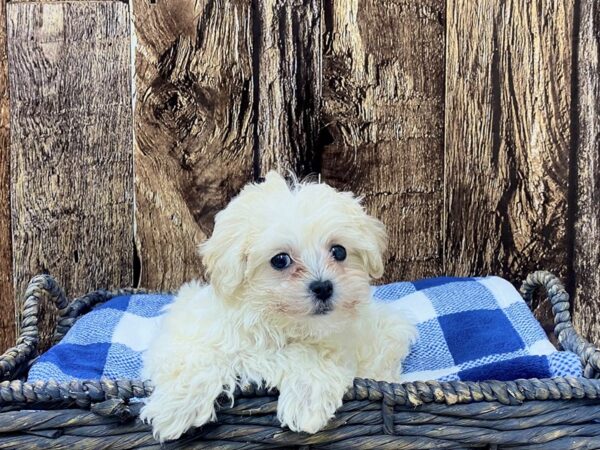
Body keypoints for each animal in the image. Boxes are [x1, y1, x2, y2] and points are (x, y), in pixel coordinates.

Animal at [139, 171, 418, 440]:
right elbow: (196, 357)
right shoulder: (187, 330)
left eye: (339, 252)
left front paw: (306, 403)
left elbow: (309, 356)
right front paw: (175, 410)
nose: (323, 287)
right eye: (280, 259)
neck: (276, 323)